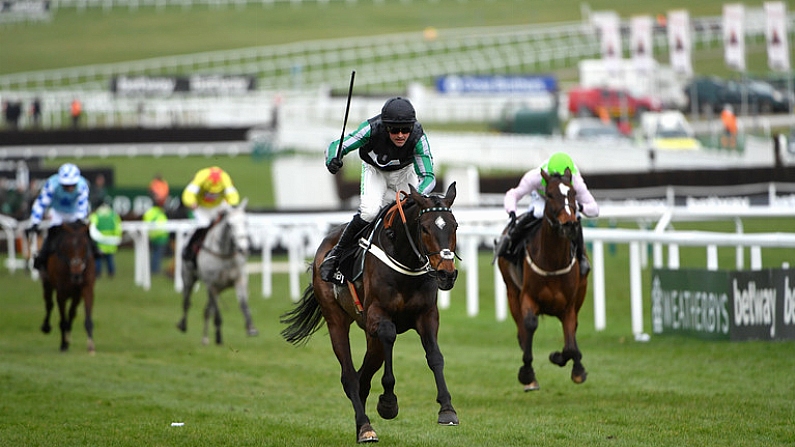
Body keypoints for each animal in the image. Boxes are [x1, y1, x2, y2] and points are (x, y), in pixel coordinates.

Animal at [38, 222, 96, 356]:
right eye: (68, 246)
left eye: (85, 245)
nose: (76, 274)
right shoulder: (61, 293)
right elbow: (62, 320)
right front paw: (63, 344)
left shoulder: (87, 288)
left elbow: (87, 319)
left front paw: (91, 346)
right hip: (47, 284)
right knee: (49, 304)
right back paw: (47, 327)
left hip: (76, 295)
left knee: (72, 312)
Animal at [177, 200, 258, 346]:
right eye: (230, 225)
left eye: (246, 222)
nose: (243, 248)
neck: (224, 254)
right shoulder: (212, 285)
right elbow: (218, 314)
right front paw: (219, 337)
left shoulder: (239, 280)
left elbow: (243, 304)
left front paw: (251, 328)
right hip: (188, 278)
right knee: (187, 302)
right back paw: (183, 325)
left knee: (207, 310)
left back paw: (205, 338)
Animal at [282, 183, 460, 444]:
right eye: (425, 228)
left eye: (454, 226)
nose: (447, 274)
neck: (405, 260)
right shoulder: (378, 314)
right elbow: (389, 335)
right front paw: (388, 403)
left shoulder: (427, 315)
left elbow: (435, 356)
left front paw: (447, 409)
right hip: (336, 319)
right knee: (349, 376)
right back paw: (365, 428)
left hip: (369, 335)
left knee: (363, 376)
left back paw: (361, 425)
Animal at [500, 168, 588, 392]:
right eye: (549, 194)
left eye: (573, 193)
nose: (569, 223)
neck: (552, 262)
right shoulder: (528, 297)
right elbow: (529, 326)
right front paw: (527, 373)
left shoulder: (568, 306)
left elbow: (570, 345)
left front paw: (570, 364)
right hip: (511, 291)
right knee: (522, 331)